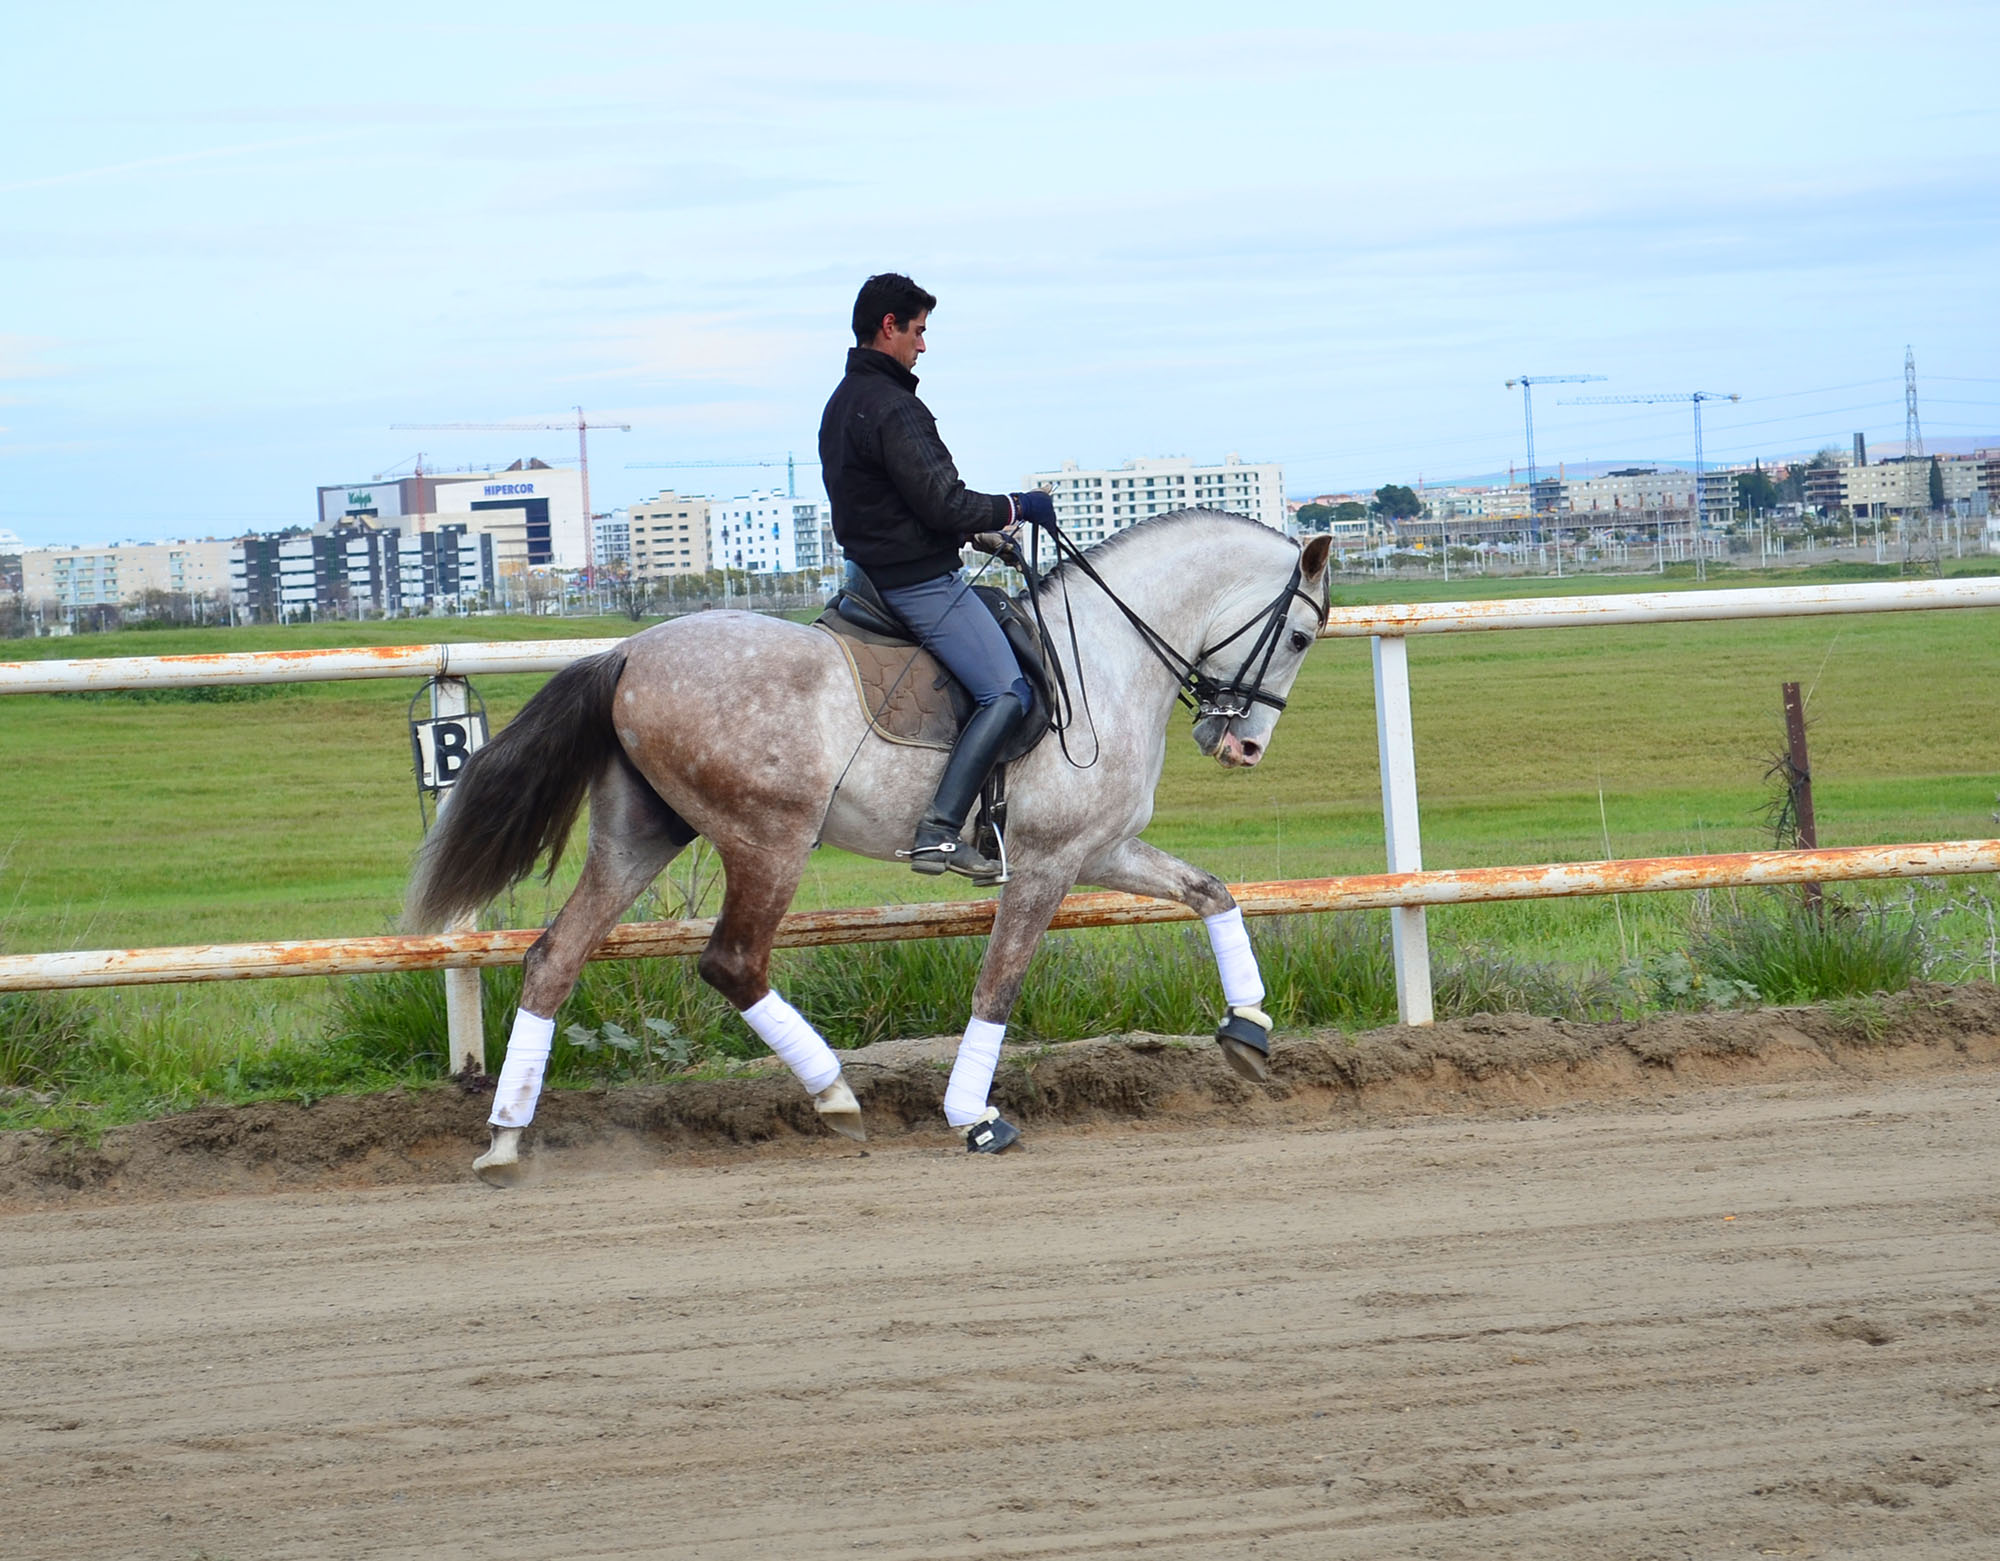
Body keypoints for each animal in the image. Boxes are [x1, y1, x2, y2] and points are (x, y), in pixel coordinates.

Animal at [408, 512, 1336, 1184]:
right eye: (1298, 637)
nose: (1241, 745)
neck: (1104, 655)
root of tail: (629, 650)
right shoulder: (1045, 862)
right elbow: (998, 986)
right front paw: (974, 1117)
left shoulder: (1100, 850)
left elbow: (1211, 889)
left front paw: (1248, 1029)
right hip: (770, 839)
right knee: (733, 962)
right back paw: (834, 1094)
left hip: (639, 838)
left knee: (555, 958)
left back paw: (505, 1141)